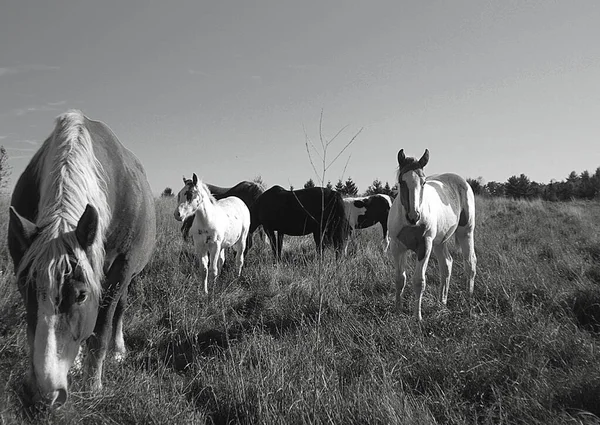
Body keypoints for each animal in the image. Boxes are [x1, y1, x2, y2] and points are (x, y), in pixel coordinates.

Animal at [7, 109, 157, 404]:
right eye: (24, 289)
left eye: (81, 296)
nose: (45, 392)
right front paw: (75, 366)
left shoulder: (119, 272)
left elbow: (101, 328)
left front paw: (93, 383)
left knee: (120, 309)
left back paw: (118, 350)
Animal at [386, 148, 476, 318]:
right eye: (401, 181)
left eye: (423, 182)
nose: (414, 216)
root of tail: (461, 181)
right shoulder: (397, 246)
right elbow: (399, 279)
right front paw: (397, 310)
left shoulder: (425, 246)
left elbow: (419, 281)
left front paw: (417, 317)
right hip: (440, 242)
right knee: (447, 264)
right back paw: (442, 301)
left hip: (466, 233)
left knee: (470, 263)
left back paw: (469, 298)